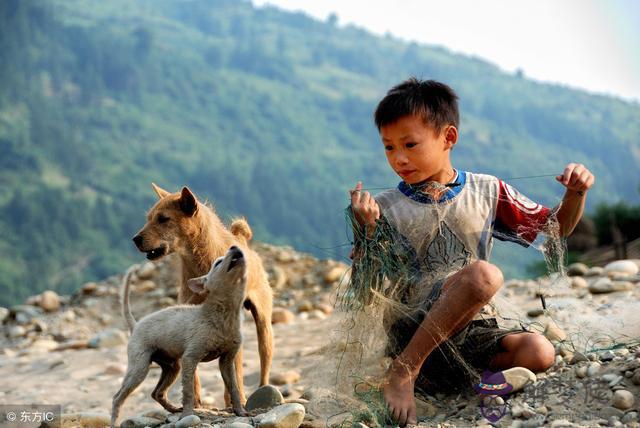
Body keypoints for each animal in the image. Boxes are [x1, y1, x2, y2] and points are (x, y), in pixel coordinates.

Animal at [132, 183, 272, 404]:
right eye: (149, 218)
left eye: (163, 218)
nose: (135, 239)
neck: (200, 262)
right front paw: (195, 402)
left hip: (264, 327)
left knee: (262, 363)